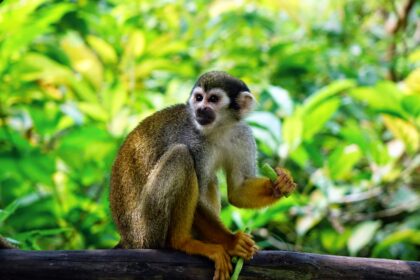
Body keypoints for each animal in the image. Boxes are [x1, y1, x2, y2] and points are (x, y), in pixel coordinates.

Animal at [110, 71, 296, 278]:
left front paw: (280, 183)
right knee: (181, 155)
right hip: (146, 231)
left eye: (213, 99)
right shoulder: (193, 140)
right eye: (199, 98)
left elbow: (237, 191)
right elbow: (198, 199)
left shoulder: (243, 135)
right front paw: (232, 241)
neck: (219, 129)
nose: (200, 108)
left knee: (209, 180)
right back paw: (182, 242)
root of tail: (128, 239)